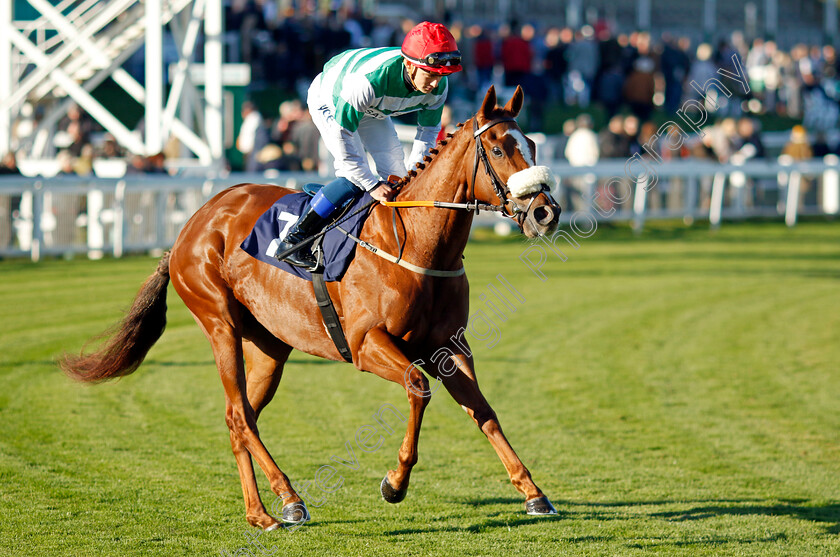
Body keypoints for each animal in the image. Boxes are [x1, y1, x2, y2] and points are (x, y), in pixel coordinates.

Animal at [62, 84, 560, 528]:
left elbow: (484, 411)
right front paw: (394, 483)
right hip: (219, 322)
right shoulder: (365, 343)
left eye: (533, 144)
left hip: (269, 346)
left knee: (240, 417)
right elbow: (418, 387)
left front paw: (534, 494)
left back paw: (261, 511)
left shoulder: (451, 346)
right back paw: (288, 499)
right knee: (239, 414)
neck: (415, 244)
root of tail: (191, 226)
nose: (546, 212)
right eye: (498, 149)